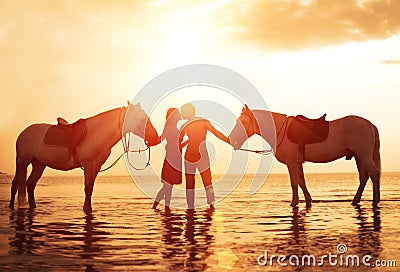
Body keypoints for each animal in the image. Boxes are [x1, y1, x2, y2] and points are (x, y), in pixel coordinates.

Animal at [9, 101, 159, 212]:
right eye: (143, 119)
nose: (156, 138)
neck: (97, 133)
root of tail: (24, 132)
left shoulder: (96, 167)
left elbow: (90, 188)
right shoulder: (88, 166)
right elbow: (87, 188)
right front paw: (87, 209)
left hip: (39, 164)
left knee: (30, 184)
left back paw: (33, 207)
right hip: (22, 162)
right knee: (16, 183)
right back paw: (11, 207)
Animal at [230, 105, 380, 207]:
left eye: (243, 122)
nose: (232, 140)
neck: (280, 129)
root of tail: (370, 124)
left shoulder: (291, 162)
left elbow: (294, 182)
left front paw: (294, 202)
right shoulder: (298, 163)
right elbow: (301, 181)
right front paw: (308, 200)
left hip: (364, 156)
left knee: (374, 174)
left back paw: (375, 201)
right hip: (359, 157)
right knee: (364, 177)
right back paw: (355, 200)